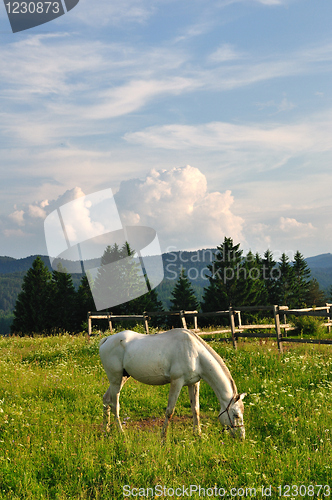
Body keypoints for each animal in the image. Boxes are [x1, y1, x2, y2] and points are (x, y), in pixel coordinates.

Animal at [99, 328, 246, 442]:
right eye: (236, 415)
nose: (242, 437)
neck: (196, 354)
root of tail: (107, 340)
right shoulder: (177, 382)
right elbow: (170, 411)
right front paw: (163, 437)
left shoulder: (194, 383)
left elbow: (195, 409)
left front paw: (197, 435)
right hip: (115, 379)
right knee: (115, 405)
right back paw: (121, 433)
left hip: (122, 378)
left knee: (106, 400)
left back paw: (106, 430)